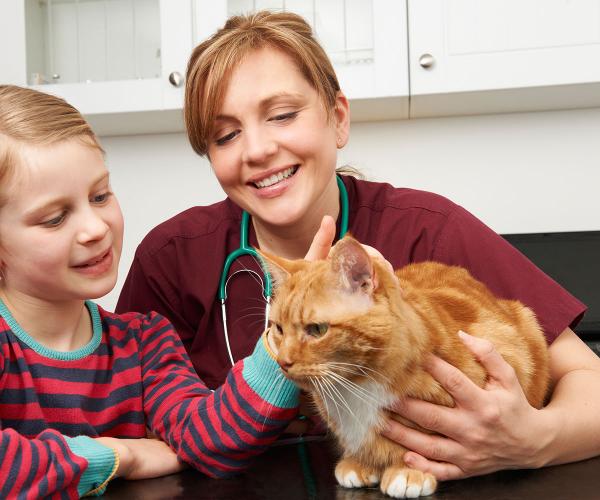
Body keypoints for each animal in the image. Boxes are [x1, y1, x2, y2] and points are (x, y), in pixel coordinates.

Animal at [262, 236, 548, 498]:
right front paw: (359, 461)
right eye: (279, 329)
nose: (283, 361)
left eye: (317, 329)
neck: (354, 386)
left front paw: (409, 471)